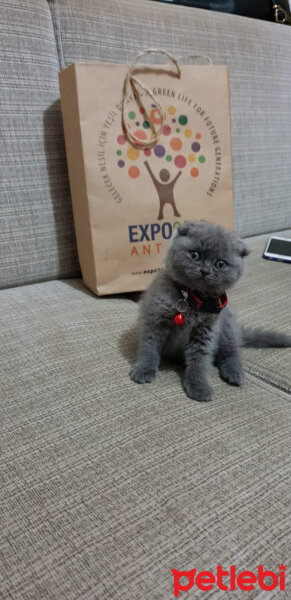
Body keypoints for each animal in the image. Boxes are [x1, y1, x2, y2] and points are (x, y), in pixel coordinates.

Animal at [131, 221, 291, 404]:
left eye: (220, 264)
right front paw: (144, 369)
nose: (205, 271)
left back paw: (234, 374)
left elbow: (199, 360)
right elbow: (149, 346)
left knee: (231, 352)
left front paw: (199, 386)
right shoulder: (155, 319)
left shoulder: (206, 331)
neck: (192, 299)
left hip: (226, 328)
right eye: (195, 255)